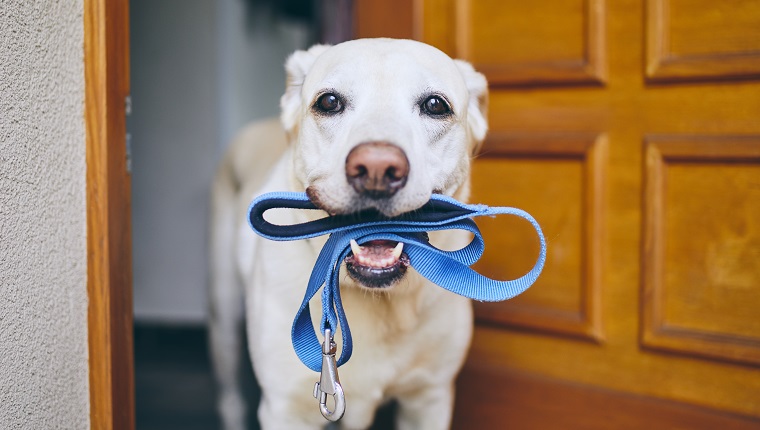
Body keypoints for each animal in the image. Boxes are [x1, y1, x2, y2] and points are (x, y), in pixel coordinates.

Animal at [211, 38, 490, 428]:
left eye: (436, 105)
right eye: (329, 102)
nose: (376, 168)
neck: (375, 299)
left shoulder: (429, 399)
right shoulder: (285, 408)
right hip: (223, 320)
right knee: (230, 399)